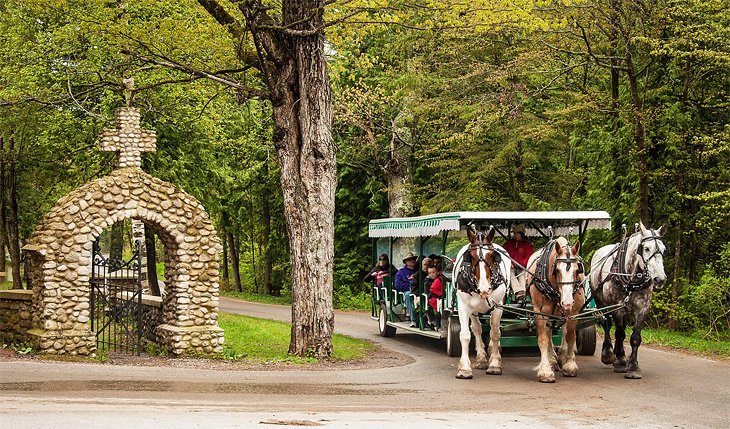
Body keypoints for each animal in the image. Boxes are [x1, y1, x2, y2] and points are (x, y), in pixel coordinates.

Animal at [452, 226, 510, 376]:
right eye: (471, 256)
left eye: (492, 255)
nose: (484, 289)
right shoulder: (463, 307)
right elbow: (465, 335)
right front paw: (464, 368)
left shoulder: (498, 306)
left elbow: (495, 333)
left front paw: (495, 364)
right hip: (473, 311)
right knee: (477, 329)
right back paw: (482, 359)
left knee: (492, 328)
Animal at [524, 237, 584, 382]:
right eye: (557, 270)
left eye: (577, 270)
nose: (567, 302)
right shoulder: (539, 312)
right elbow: (543, 339)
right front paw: (545, 371)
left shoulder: (573, 312)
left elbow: (570, 336)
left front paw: (569, 365)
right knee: (548, 332)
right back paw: (551, 360)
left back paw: (560, 356)